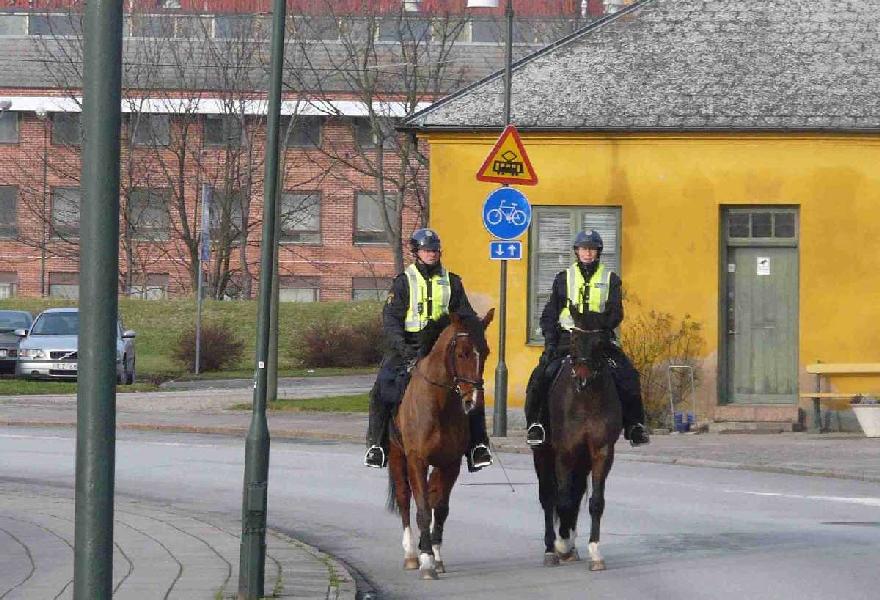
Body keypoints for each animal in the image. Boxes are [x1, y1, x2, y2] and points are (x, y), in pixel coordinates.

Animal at [386, 308, 496, 580]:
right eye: (462, 353)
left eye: (486, 351)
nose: (473, 401)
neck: (439, 404)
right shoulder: (416, 460)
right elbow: (423, 509)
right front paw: (426, 562)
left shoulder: (450, 463)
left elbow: (441, 509)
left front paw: (435, 557)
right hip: (396, 455)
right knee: (405, 499)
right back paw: (411, 554)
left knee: (432, 496)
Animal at [532, 304, 624, 572]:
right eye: (573, 338)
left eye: (600, 341)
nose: (582, 377)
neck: (585, 399)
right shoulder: (565, 451)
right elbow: (561, 500)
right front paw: (561, 545)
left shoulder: (602, 451)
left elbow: (595, 501)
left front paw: (595, 552)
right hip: (543, 454)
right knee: (549, 497)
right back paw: (552, 549)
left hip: (582, 460)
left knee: (575, 494)